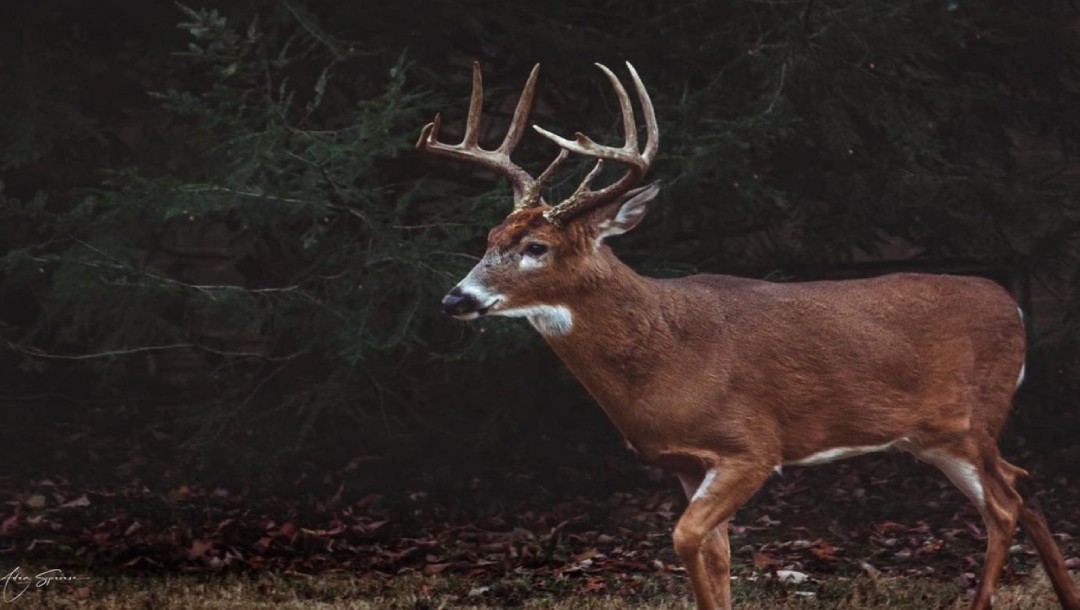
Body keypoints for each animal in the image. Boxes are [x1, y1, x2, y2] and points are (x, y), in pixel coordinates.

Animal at [414, 60, 1080, 608]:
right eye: (488, 238)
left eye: (536, 246)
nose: (454, 299)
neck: (662, 358)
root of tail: (1012, 305)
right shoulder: (685, 462)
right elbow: (714, 556)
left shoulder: (753, 446)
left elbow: (687, 540)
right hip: (937, 436)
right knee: (1019, 483)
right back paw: (1067, 594)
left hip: (970, 420)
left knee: (1003, 506)